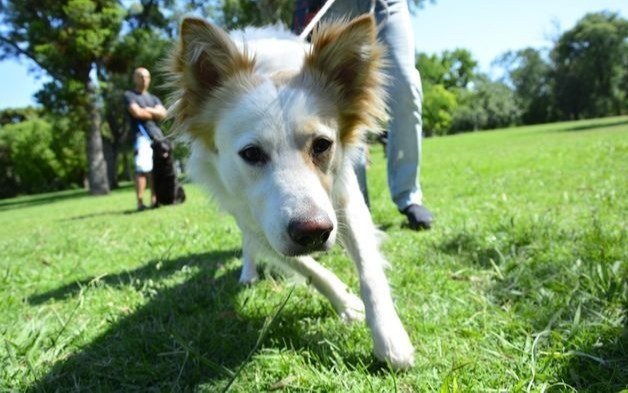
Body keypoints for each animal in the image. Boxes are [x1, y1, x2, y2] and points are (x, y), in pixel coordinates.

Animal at [167, 13, 414, 368]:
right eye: (251, 153)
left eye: (323, 145)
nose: (313, 233)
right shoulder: (259, 223)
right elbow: (310, 269)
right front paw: (346, 303)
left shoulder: (345, 200)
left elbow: (369, 271)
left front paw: (390, 337)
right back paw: (248, 272)